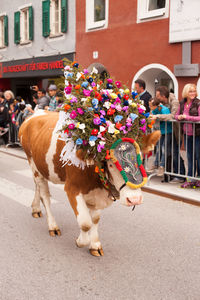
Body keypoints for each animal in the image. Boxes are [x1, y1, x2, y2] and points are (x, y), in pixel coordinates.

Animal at [18, 111, 159, 256]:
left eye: (141, 159)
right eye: (110, 164)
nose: (134, 199)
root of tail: (35, 114)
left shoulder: (98, 193)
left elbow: (95, 220)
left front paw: (95, 244)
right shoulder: (72, 189)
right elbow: (85, 222)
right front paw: (80, 241)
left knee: (38, 188)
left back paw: (35, 208)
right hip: (33, 164)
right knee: (45, 196)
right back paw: (52, 226)